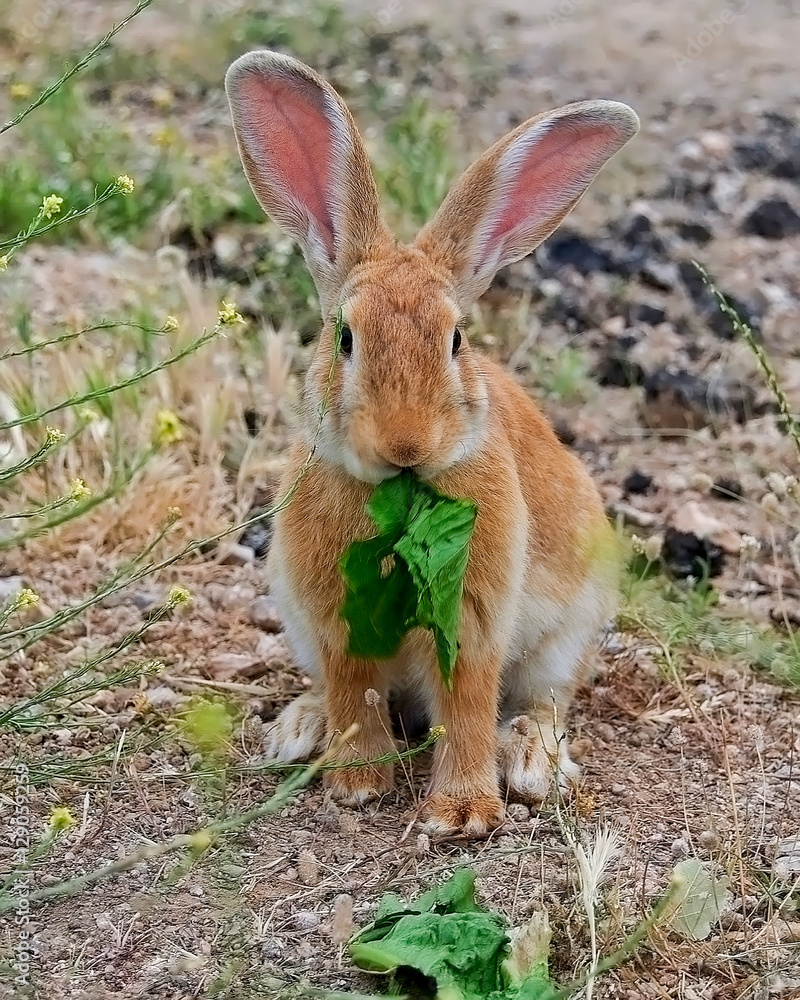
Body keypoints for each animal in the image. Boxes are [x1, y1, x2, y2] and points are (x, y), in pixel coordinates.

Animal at [225, 50, 638, 835]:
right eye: (345, 337)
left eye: (456, 340)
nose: (406, 443)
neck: (404, 501)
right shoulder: (332, 615)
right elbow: (353, 685)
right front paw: (357, 783)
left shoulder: (475, 612)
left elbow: (469, 695)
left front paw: (464, 812)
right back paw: (301, 728)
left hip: (566, 637)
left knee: (546, 701)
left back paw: (530, 761)